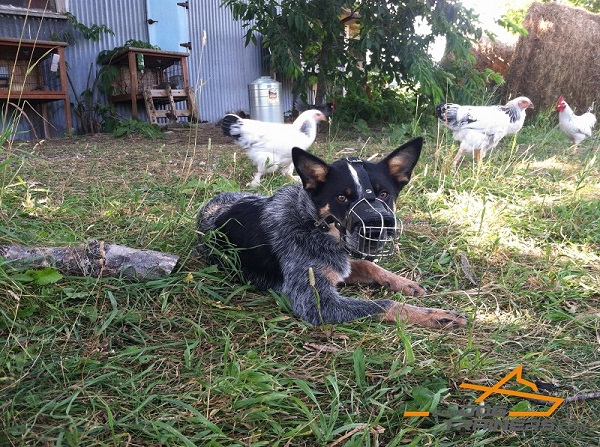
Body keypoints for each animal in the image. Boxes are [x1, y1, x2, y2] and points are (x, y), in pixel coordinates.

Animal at [195, 136, 466, 328]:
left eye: (383, 193)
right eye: (342, 197)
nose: (376, 226)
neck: (309, 222)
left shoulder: (340, 264)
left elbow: (369, 265)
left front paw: (404, 282)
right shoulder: (317, 303)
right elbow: (384, 304)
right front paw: (435, 314)